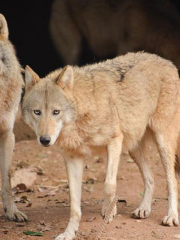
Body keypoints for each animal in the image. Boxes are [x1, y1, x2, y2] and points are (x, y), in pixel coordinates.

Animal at [22, 53, 180, 240]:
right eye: (37, 112)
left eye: (56, 112)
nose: (45, 140)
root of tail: (167, 61)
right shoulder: (73, 158)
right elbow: (74, 204)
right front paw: (69, 232)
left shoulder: (114, 141)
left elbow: (109, 185)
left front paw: (109, 212)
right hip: (133, 148)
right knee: (150, 178)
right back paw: (144, 209)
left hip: (162, 142)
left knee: (171, 181)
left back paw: (171, 216)